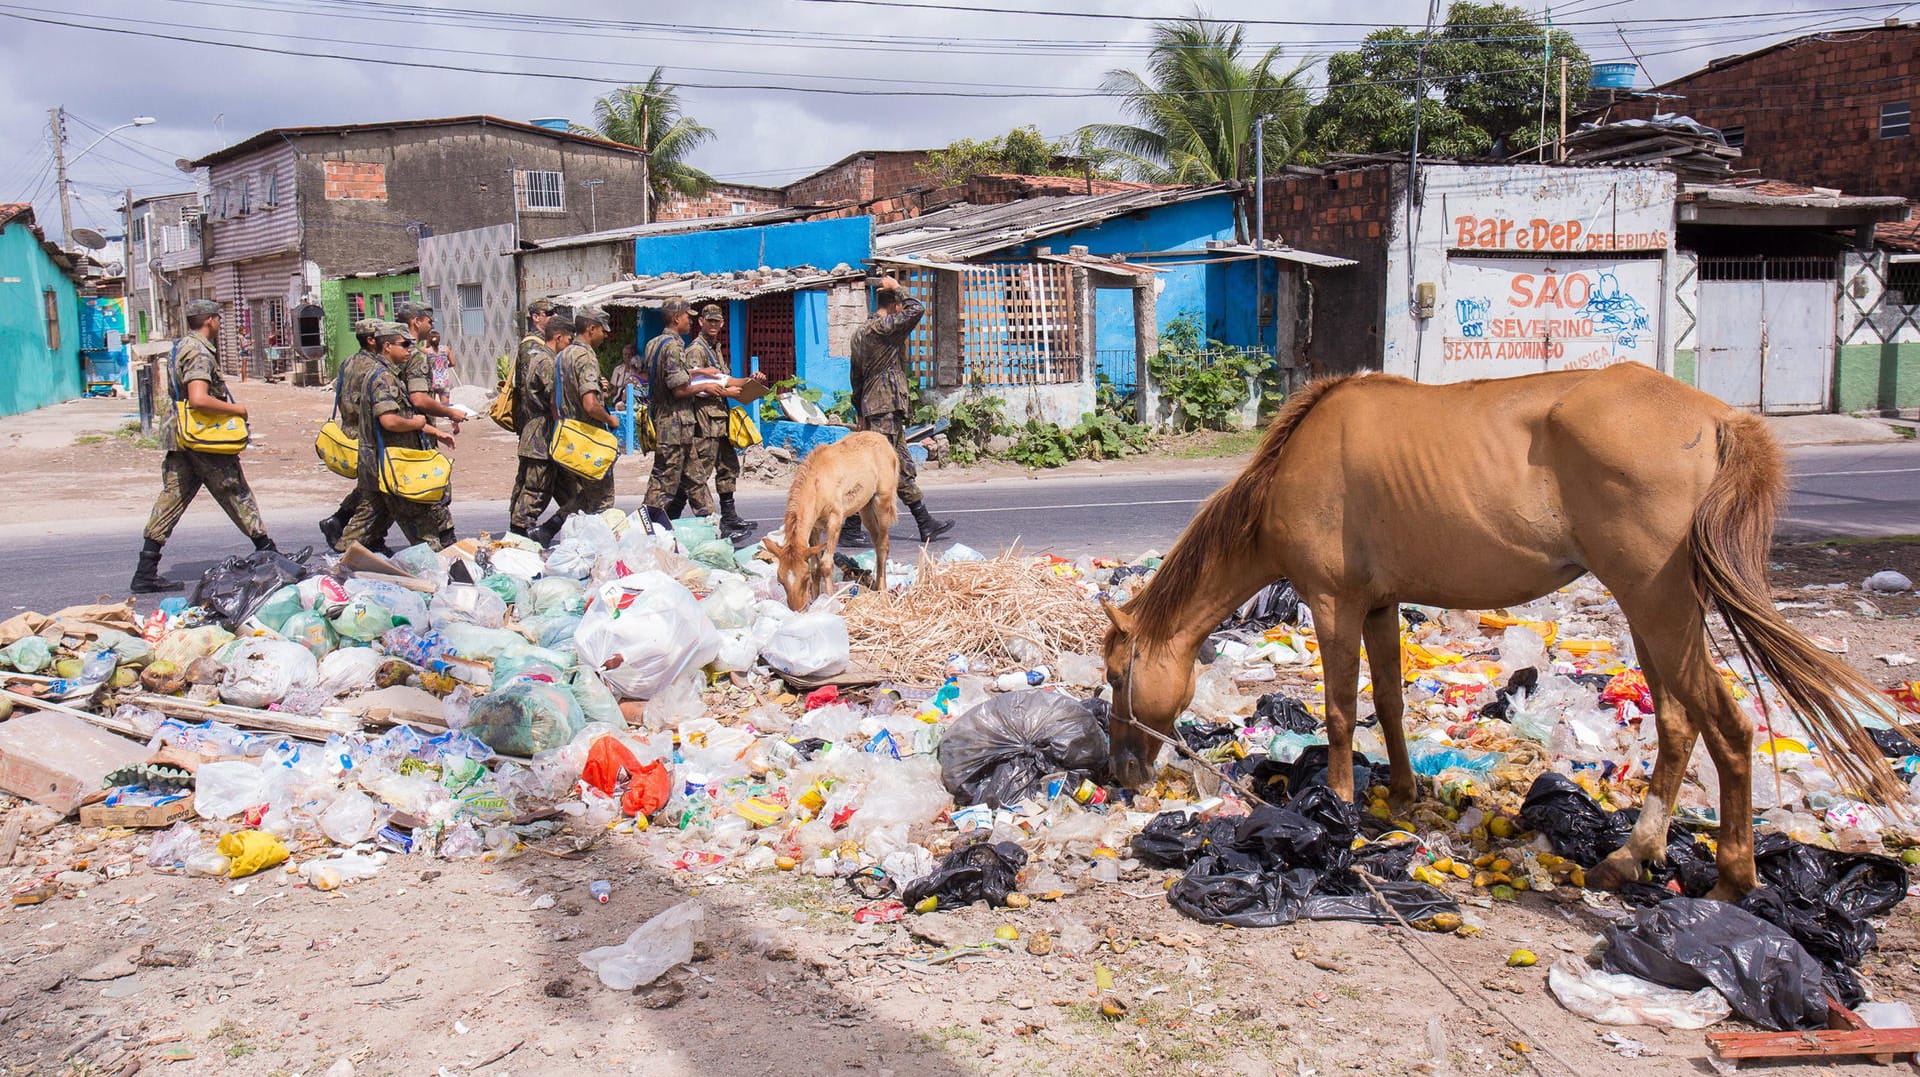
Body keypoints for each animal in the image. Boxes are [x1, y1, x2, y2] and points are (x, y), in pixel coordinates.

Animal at [756, 430, 898, 614]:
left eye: (805, 578)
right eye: (780, 580)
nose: (797, 609)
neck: (817, 486)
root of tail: (885, 442)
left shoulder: (835, 518)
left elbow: (825, 564)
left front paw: (830, 601)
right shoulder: (814, 527)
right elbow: (816, 566)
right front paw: (816, 600)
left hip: (883, 501)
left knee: (883, 545)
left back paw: (883, 592)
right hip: (866, 508)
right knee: (876, 541)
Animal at [1105, 364, 1896, 894]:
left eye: (1117, 674)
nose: (1120, 775)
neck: (1290, 471)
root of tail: (1721, 420)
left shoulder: (1333, 603)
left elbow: (1339, 711)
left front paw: (1338, 809)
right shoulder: (1379, 606)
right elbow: (1389, 700)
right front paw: (1404, 791)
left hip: (1661, 608)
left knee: (1728, 730)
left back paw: (1733, 878)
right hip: (1653, 618)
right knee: (1678, 724)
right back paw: (1629, 857)